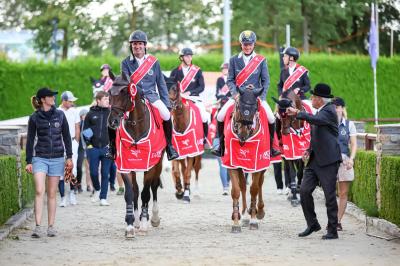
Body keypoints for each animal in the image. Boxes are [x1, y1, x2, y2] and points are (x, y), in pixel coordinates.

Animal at [108, 73, 164, 239]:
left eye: (125, 92)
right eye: (109, 93)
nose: (112, 121)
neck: (136, 126)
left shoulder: (150, 166)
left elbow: (146, 193)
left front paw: (145, 223)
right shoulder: (125, 166)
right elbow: (130, 194)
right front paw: (130, 225)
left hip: (158, 163)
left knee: (153, 187)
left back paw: (154, 218)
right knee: (136, 190)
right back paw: (137, 221)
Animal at [227, 85, 268, 233]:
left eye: (255, 108)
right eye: (238, 105)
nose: (243, 133)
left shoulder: (258, 164)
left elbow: (254, 189)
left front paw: (254, 219)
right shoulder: (232, 164)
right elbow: (236, 190)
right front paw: (236, 222)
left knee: (260, 184)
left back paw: (258, 211)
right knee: (243, 186)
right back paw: (244, 214)